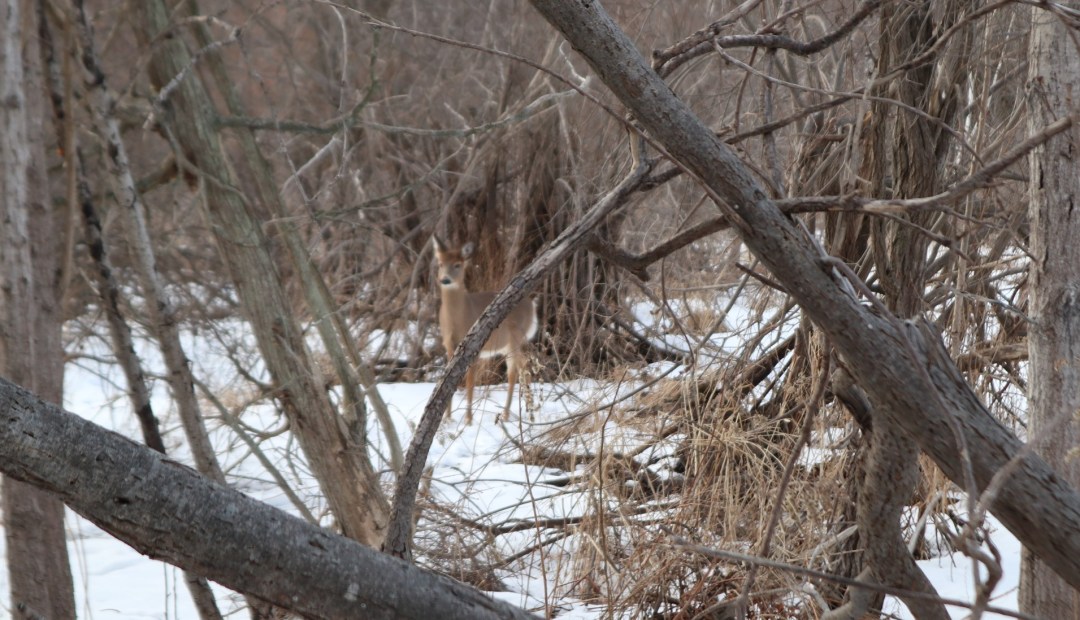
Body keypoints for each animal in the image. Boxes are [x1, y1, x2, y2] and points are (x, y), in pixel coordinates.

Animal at [432, 235, 538, 425]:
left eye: (458, 264)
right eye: (441, 263)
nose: (445, 280)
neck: (459, 318)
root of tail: (532, 304)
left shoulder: (472, 347)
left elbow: (470, 382)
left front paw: (468, 420)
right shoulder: (448, 345)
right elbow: (446, 382)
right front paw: (447, 418)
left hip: (516, 337)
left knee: (518, 370)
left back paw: (514, 414)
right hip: (508, 344)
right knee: (520, 368)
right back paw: (521, 412)